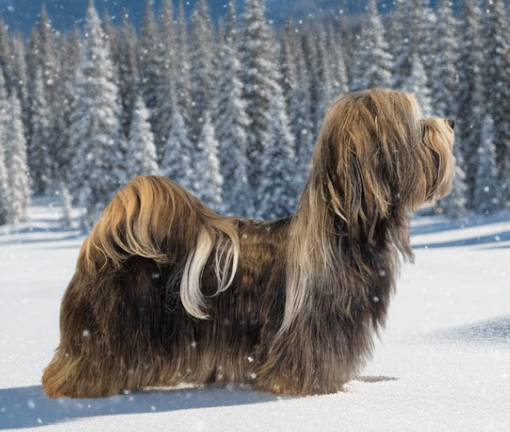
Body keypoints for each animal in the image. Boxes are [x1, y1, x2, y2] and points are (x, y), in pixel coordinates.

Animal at [42, 88, 455, 398]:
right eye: (415, 126)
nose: (449, 122)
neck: (345, 230)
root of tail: (102, 246)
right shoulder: (313, 328)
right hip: (111, 325)